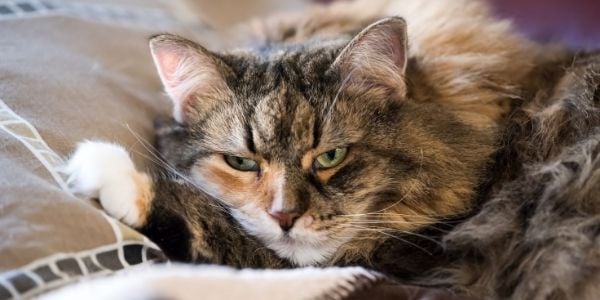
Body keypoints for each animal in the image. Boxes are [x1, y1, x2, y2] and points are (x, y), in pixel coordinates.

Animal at [65, 0, 600, 298]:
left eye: (330, 157)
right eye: (241, 162)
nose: (285, 216)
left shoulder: (403, 257)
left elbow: (209, 223)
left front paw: (102, 168)